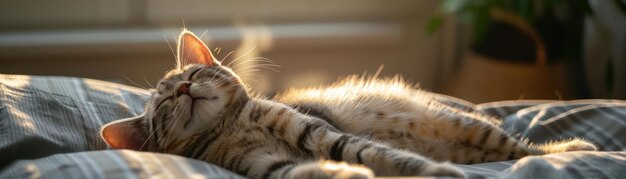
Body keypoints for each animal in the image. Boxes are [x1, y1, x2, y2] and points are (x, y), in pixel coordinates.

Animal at [101, 30, 596, 178]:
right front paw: (345, 174)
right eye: (164, 106)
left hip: (471, 127)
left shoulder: (316, 131)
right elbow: (305, 171)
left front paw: (431, 171)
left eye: (190, 77)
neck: (233, 127)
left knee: (522, 148)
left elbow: (379, 154)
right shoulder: (264, 164)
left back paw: (573, 148)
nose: (184, 92)